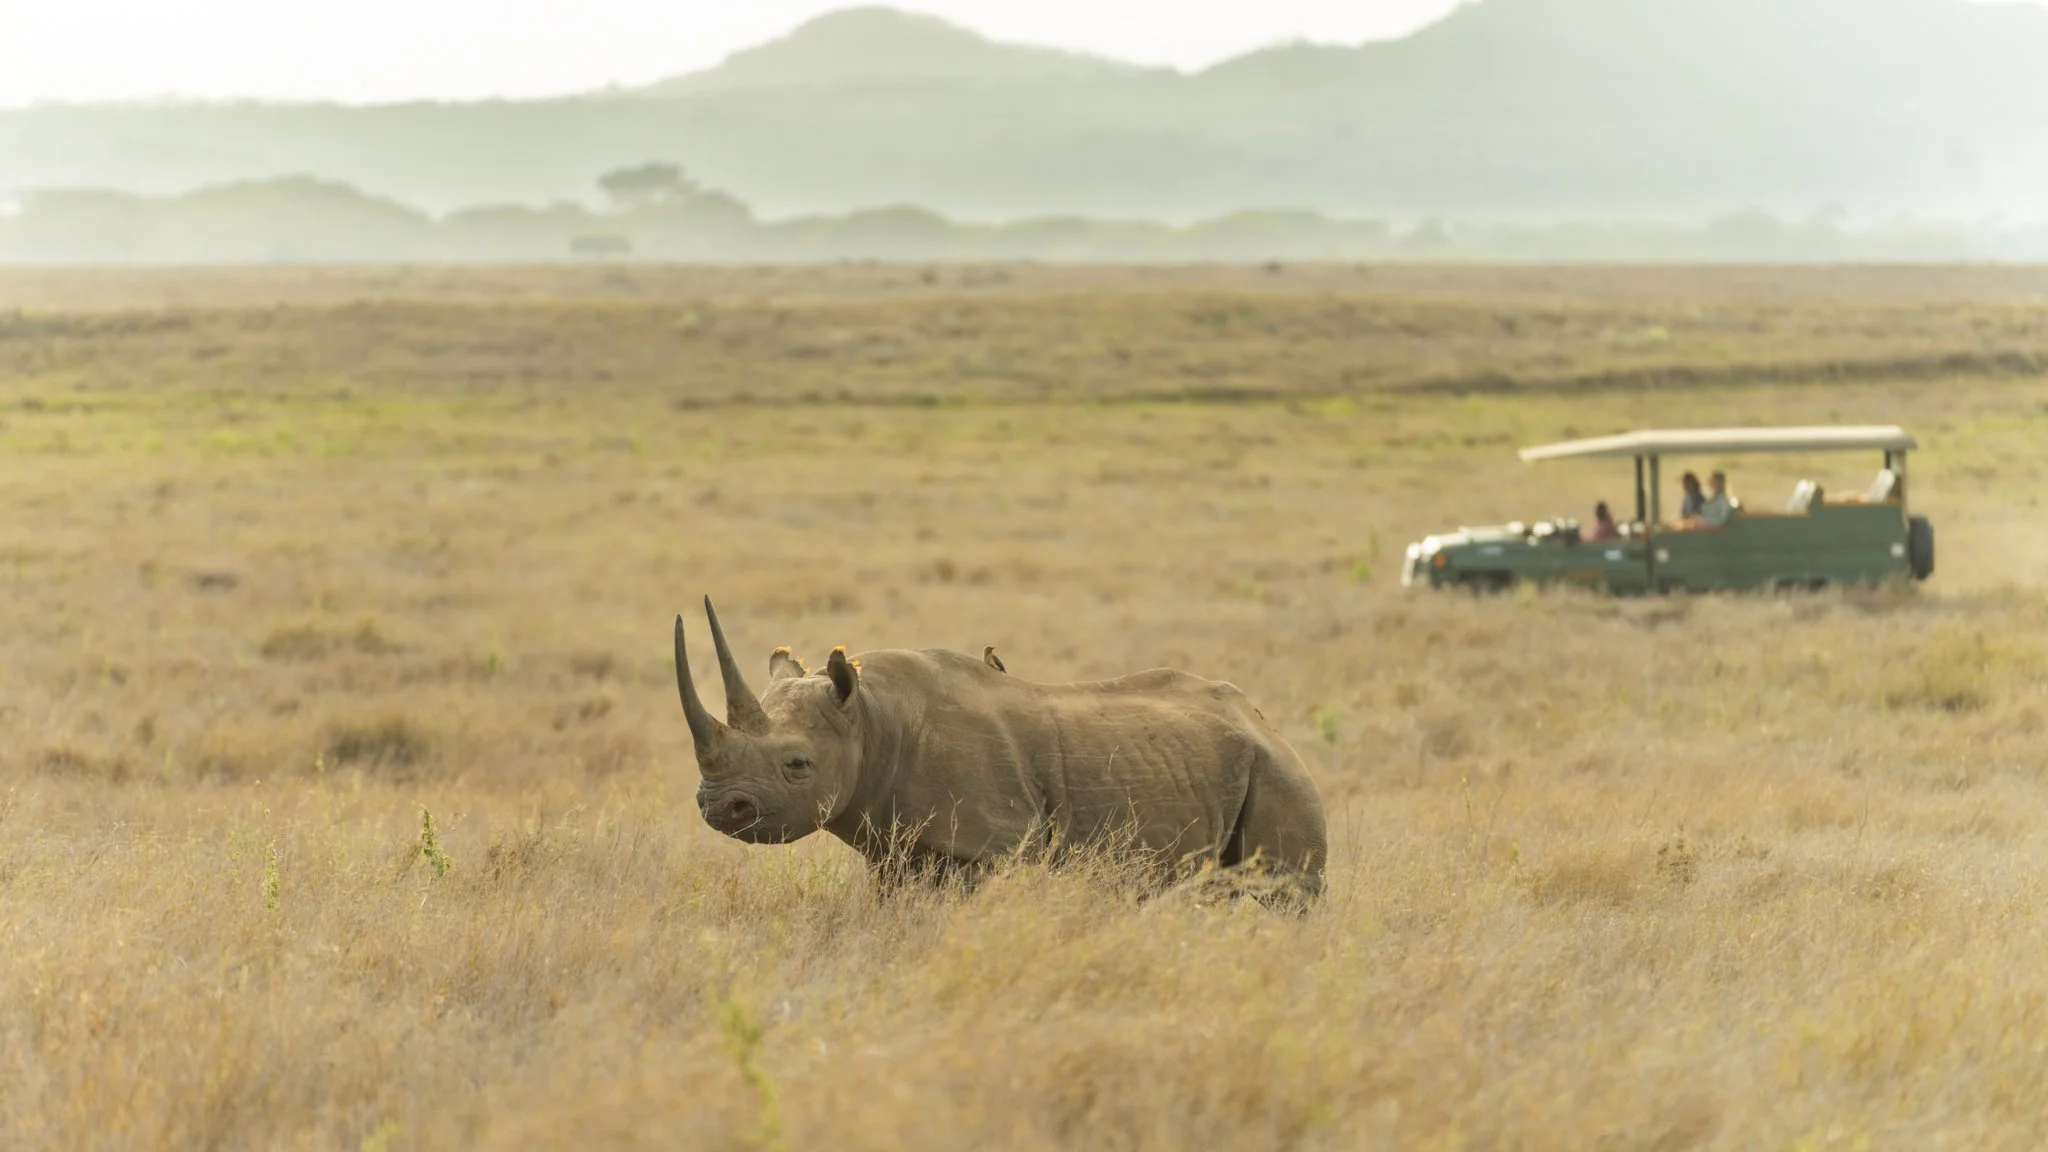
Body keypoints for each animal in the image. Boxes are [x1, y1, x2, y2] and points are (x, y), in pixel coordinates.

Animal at [674, 598, 1328, 900]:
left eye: (797, 765)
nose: (717, 808)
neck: (870, 719)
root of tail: (1266, 724)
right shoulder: (892, 849)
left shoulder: (988, 845)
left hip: (1277, 772)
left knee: (1287, 896)